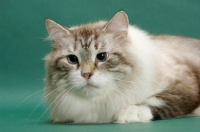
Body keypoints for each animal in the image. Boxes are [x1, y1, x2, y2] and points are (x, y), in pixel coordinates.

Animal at [43, 10, 200, 123]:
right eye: (72, 59)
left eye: (102, 56)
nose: (86, 74)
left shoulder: (184, 82)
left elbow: (157, 99)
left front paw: (131, 112)